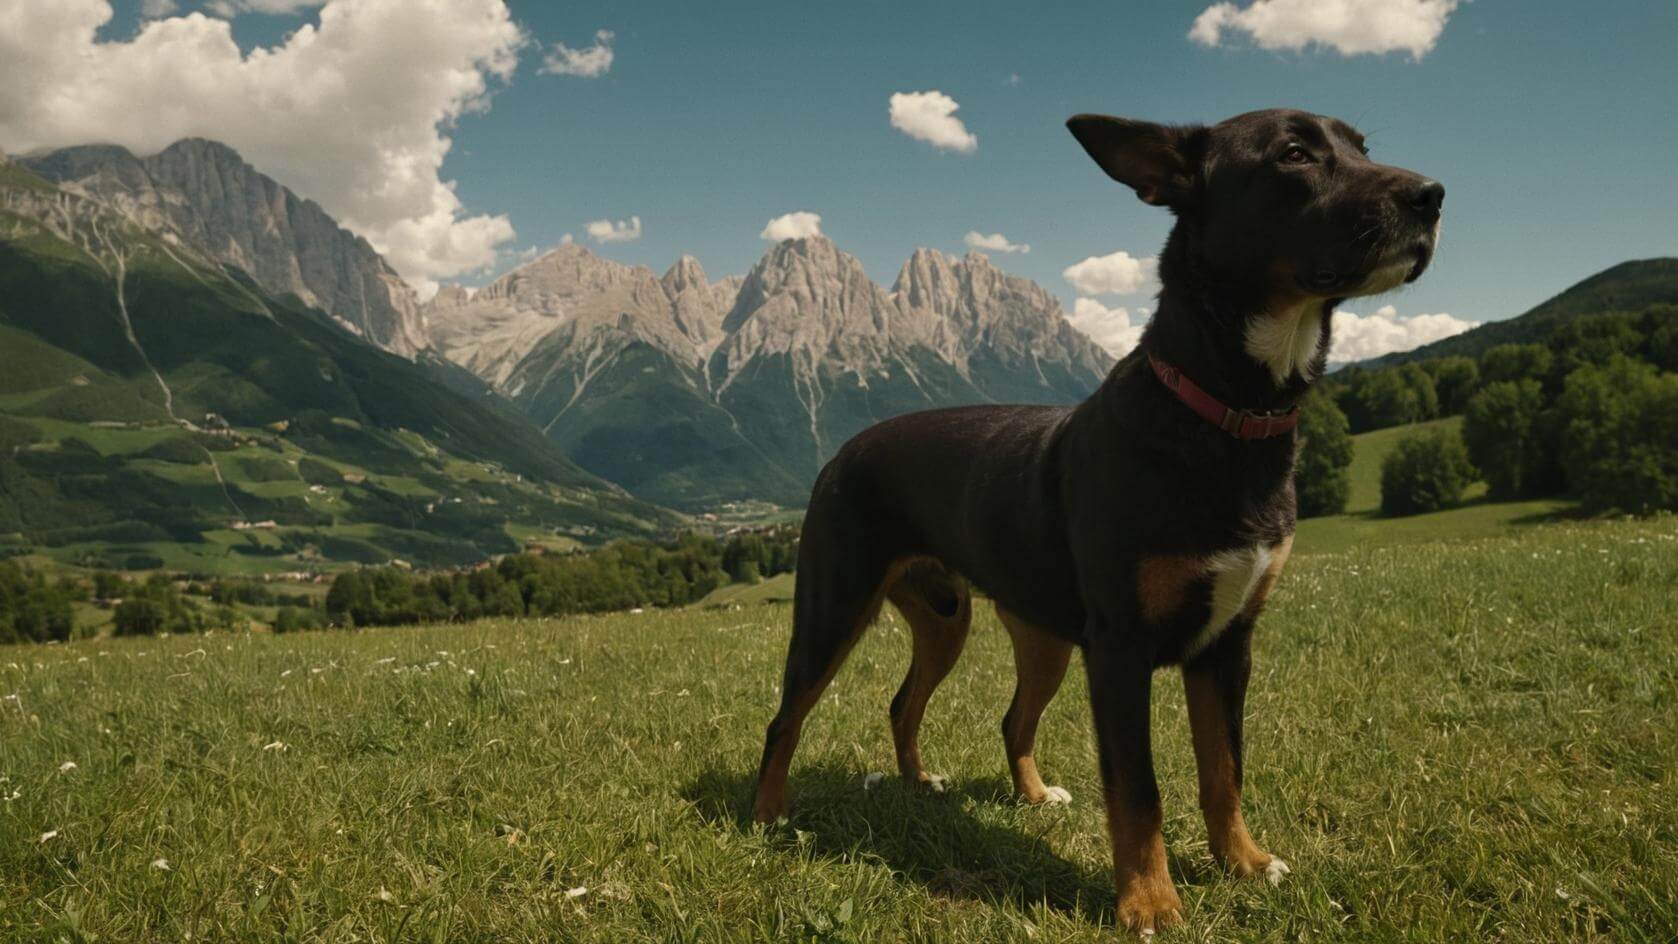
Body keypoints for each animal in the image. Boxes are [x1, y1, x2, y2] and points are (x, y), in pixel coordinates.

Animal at [751, 110, 1443, 938]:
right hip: (834, 607)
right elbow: (1140, 792)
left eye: (1363, 147)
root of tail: (842, 450)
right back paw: (767, 813)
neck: (1225, 412)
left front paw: (1242, 862)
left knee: (963, 711)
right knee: (785, 718)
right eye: (1295, 153)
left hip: (991, 628)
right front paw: (1150, 903)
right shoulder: (1120, 652)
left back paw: (972, 788)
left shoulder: (1229, 646)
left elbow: (1225, 769)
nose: (1432, 195)